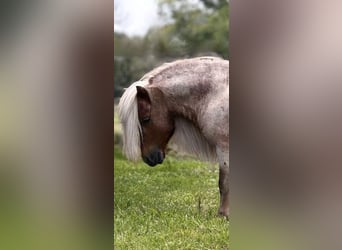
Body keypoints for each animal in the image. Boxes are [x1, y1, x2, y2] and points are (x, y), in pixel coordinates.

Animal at [118, 56, 230, 217]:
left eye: (145, 119)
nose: (148, 158)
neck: (215, 93)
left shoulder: (224, 147)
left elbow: (224, 183)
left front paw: (223, 215)